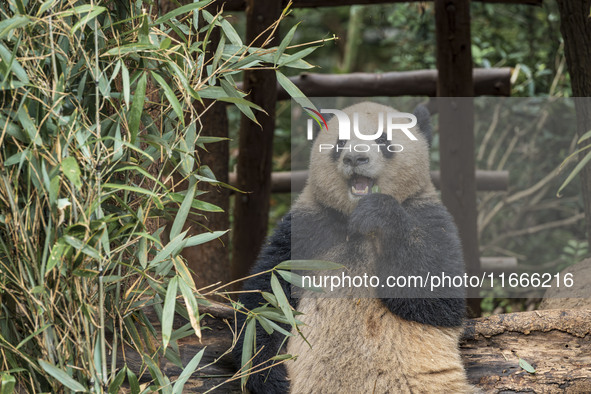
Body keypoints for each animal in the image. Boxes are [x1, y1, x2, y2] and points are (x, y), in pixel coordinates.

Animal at [235, 102, 476, 394]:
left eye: (383, 140)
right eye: (340, 143)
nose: (354, 158)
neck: (354, 220)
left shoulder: (429, 217)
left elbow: (439, 301)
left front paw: (379, 212)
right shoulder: (308, 228)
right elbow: (265, 297)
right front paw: (268, 378)